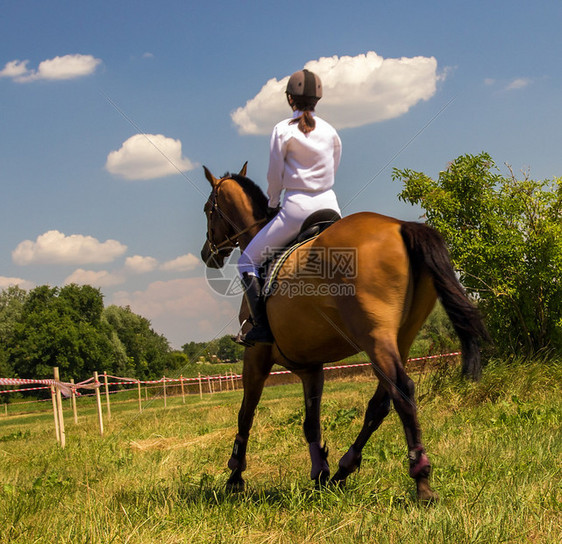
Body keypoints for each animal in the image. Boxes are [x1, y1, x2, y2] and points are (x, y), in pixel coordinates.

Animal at [198, 163, 486, 502]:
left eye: (208, 209)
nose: (207, 254)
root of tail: (400, 227)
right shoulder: (311, 367)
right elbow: (311, 422)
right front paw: (319, 473)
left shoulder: (256, 357)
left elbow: (246, 414)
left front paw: (234, 477)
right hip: (401, 338)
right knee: (380, 404)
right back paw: (342, 471)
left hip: (375, 337)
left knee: (401, 391)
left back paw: (421, 481)